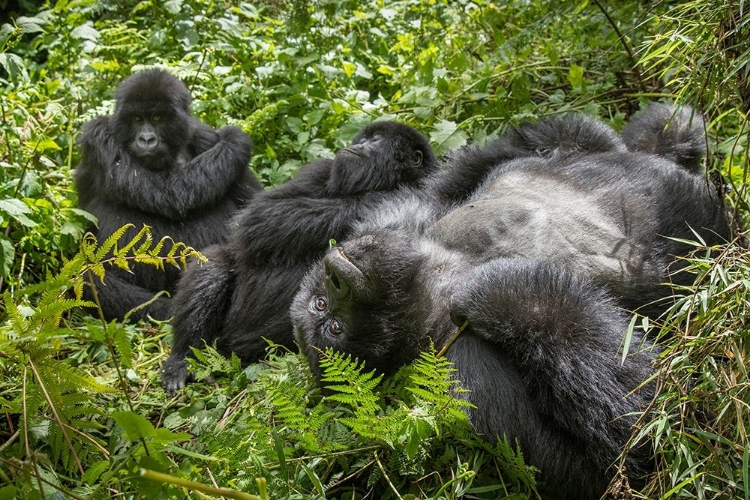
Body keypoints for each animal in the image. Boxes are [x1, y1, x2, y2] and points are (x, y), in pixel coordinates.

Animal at [76, 68, 262, 322]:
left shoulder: (204, 135)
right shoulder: (98, 135)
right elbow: (170, 193)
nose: (146, 139)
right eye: (137, 119)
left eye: (157, 118)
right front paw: (235, 140)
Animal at [160, 122, 440, 394]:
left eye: (377, 140)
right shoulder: (321, 169)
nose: (358, 145)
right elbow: (261, 215)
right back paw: (182, 359)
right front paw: (373, 199)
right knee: (215, 266)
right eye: (365, 138)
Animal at [292, 103, 736, 498]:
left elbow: (464, 172)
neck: (434, 276)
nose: (336, 278)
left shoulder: (410, 216)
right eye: (332, 324)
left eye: (319, 303)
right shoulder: (467, 371)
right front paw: (502, 292)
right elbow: (632, 443)